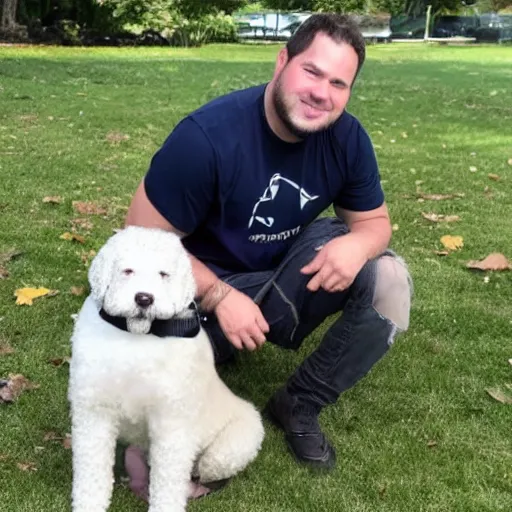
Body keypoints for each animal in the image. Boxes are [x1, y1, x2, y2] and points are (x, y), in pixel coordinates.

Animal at [69, 228, 264, 512]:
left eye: (164, 274)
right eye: (127, 270)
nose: (144, 299)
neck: (138, 337)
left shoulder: (173, 424)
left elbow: (169, 482)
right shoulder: (94, 411)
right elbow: (92, 470)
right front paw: (89, 504)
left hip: (229, 449)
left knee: (200, 472)